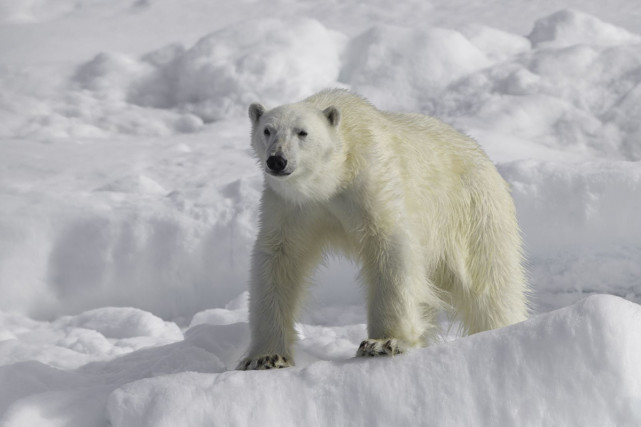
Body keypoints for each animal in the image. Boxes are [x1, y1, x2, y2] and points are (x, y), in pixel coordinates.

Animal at [238, 89, 528, 372]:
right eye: (267, 130)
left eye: (302, 132)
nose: (277, 160)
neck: (332, 178)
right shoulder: (291, 206)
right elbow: (278, 259)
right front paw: (265, 357)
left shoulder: (371, 181)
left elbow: (389, 247)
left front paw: (382, 343)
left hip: (473, 214)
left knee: (490, 284)